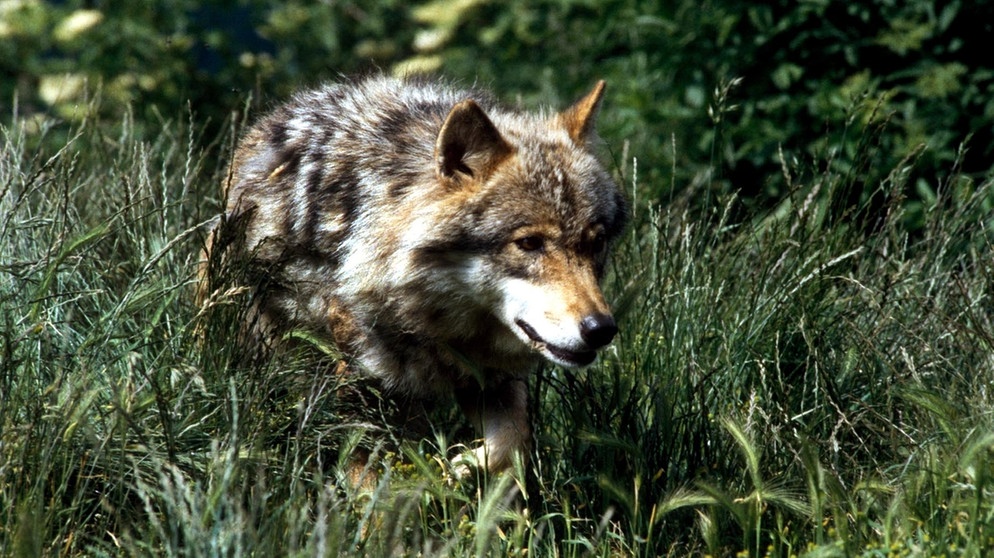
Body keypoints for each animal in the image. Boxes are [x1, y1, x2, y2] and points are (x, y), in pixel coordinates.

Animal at [207, 74, 628, 474]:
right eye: (529, 243)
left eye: (596, 243)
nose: (601, 329)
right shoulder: (362, 387)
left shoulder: (492, 379)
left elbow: (511, 446)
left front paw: (460, 467)